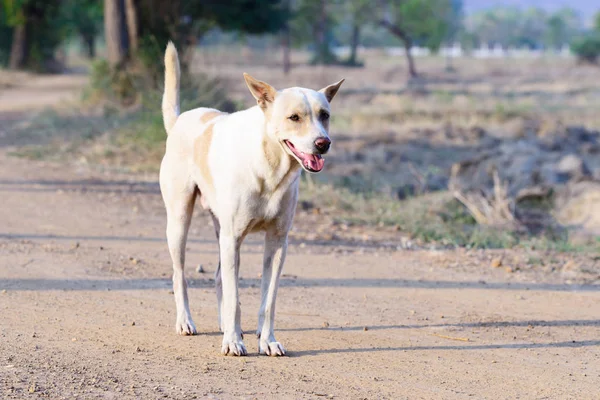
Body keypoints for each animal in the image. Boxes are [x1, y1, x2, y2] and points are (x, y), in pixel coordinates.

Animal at [158, 43, 342, 356]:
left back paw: (223, 325)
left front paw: (267, 340)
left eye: (324, 115)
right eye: (294, 117)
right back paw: (186, 321)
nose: (323, 143)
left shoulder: (278, 242)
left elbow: (268, 301)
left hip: (220, 228)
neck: (271, 166)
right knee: (179, 274)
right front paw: (233, 342)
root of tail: (180, 120)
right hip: (180, 222)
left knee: (219, 276)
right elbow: (235, 298)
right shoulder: (233, 238)